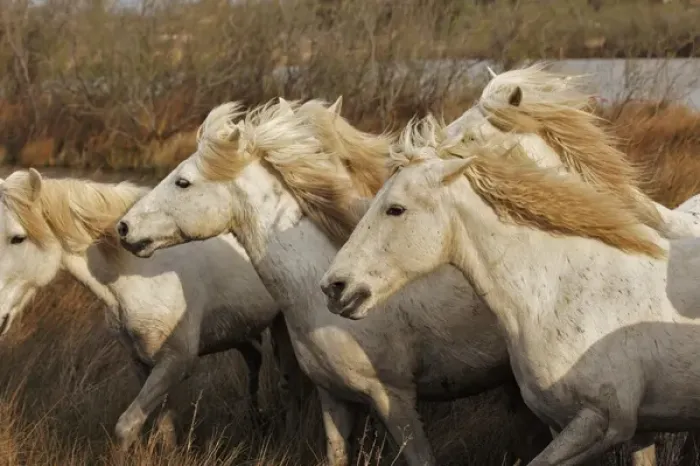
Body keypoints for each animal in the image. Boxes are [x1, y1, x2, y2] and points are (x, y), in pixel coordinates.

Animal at [0, 170, 303, 451]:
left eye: (18, 238)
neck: (137, 272)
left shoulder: (175, 362)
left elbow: (128, 425)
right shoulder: (142, 361)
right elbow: (164, 426)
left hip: (282, 327)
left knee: (288, 383)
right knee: (254, 359)